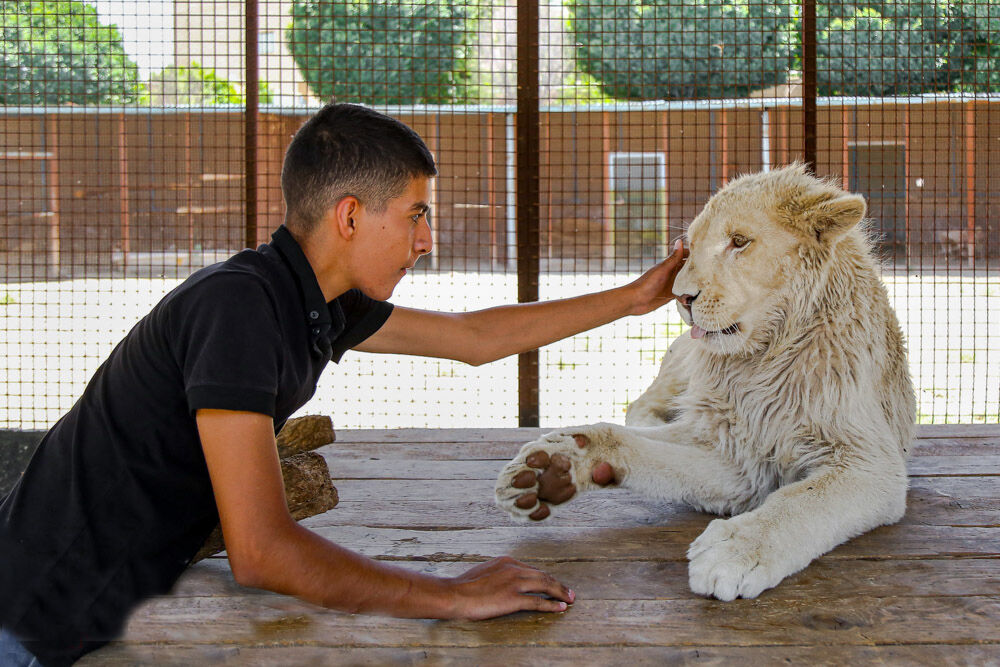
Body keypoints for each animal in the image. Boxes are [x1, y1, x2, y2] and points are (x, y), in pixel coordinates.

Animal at [492, 164, 916, 604]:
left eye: (739, 242)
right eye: (689, 248)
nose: (681, 296)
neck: (761, 361)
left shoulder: (869, 462)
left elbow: (803, 501)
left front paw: (736, 550)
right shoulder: (736, 454)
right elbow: (639, 443)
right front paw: (555, 465)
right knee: (644, 407)